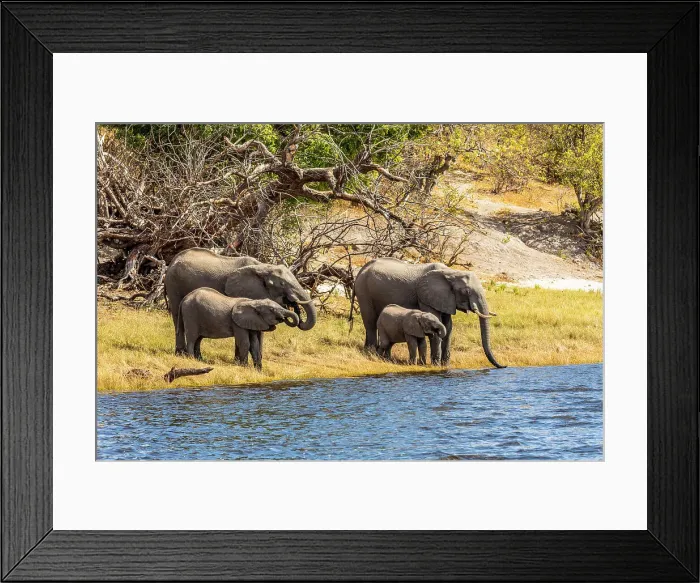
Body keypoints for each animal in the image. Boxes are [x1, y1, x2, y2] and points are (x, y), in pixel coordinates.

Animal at [164, 248, 316, 354]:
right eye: (283, 284)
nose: (293, 303)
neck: (263, 267)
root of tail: (173, 261)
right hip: (174, 284)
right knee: (178, 318)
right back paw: (180, 353)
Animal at [349, 257, 505, 368]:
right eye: (466, 291)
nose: (503, 366)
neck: (451, 273)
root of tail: (362, 269)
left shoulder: (445, 299)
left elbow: (448, 326)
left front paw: (445, 365)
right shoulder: (426, 297)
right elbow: (438, 322)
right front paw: (436, 365)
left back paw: (370, 352)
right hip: (364, 291)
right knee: (370, 322)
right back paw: (371, 353)